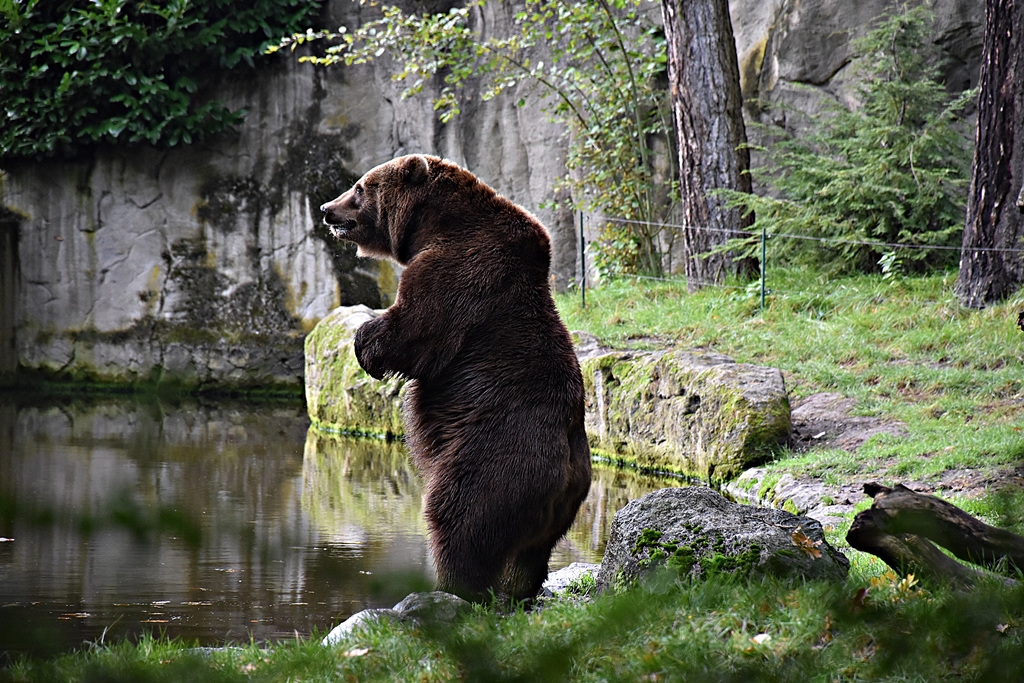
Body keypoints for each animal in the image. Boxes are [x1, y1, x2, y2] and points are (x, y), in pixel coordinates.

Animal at [320, 154, 591, 602]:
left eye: (359, 187)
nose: (327, 209)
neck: (434, 224)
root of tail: (568, 472)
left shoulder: (462, 266)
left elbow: (416, 328)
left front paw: (365, 343)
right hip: (558, 507)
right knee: (529, 553)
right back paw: (518, 589)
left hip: (492, 460)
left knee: (459, 518)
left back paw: (453, 587)